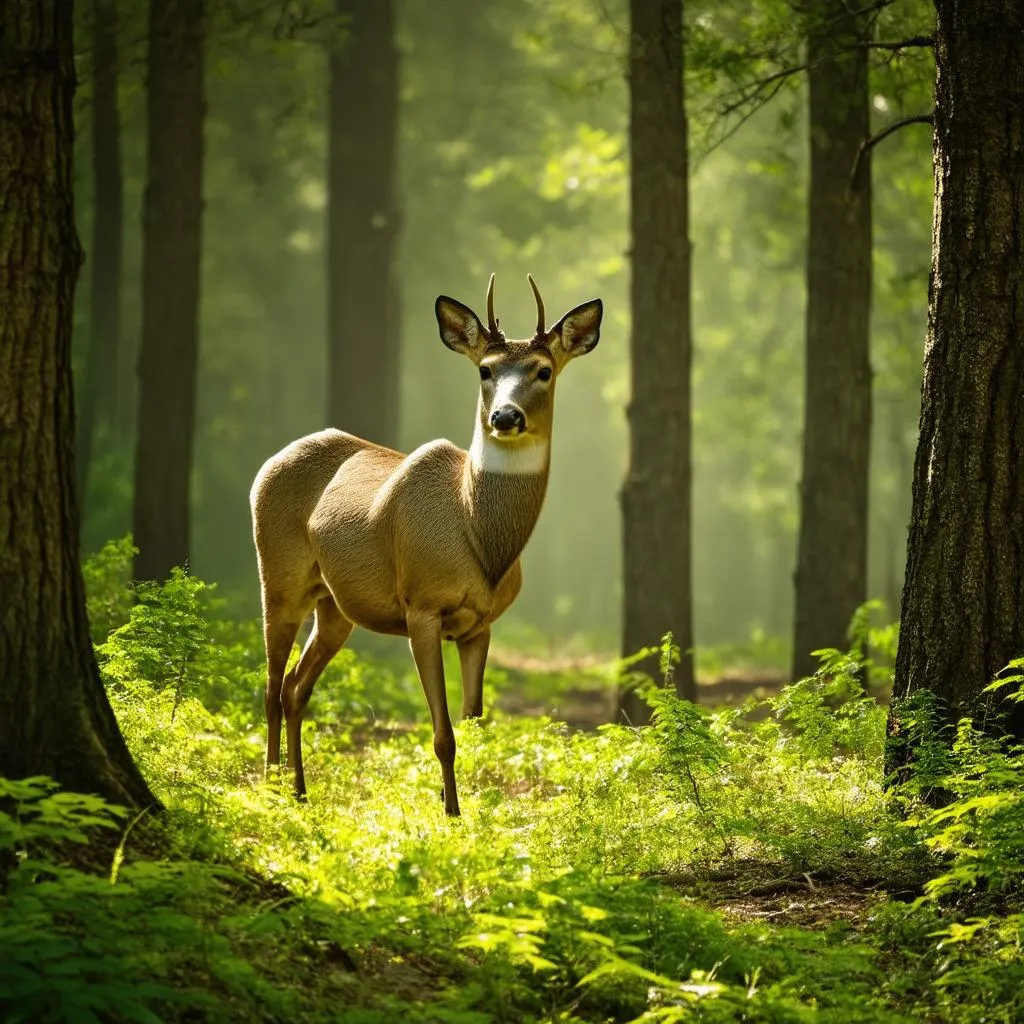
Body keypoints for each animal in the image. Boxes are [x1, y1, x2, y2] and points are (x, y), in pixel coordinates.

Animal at [249, 274, 598, 815]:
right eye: (485, 369)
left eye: (544, 370)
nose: (505, 416)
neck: (477, 535)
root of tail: (268, 464)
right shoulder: (421, 607)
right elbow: (443, 735)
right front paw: (451, 813)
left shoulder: (481, 625)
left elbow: (476, 724)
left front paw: (478, 808)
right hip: (278, 573)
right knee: (269, 685)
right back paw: (271, 790)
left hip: (334, 606)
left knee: (294, 687)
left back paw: (300, 791)